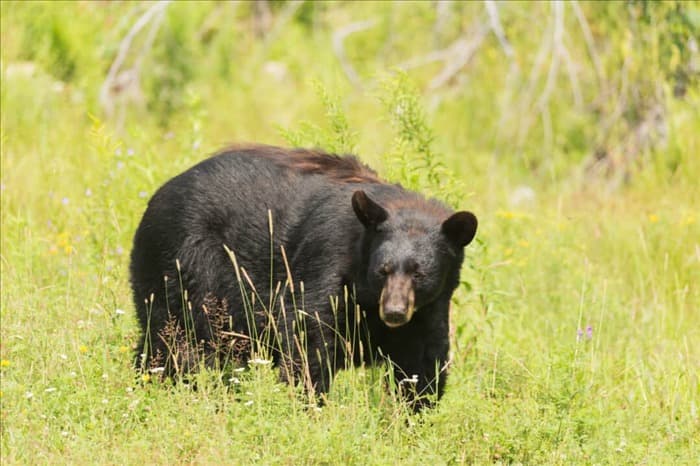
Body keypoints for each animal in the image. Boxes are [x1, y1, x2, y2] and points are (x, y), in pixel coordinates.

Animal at [129, 144, 478, 410]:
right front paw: (309, 405)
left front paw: (413, 415)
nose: (393, 312)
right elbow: (308, 337)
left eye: (420, 273)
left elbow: (422, 362)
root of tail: (155, 198)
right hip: (184, 266)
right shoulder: (328, 262)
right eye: (383, 270)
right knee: (174, 340)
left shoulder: (427, 310)